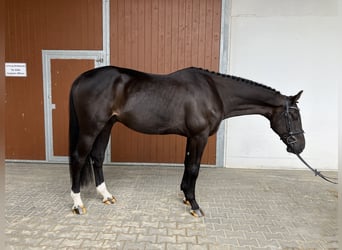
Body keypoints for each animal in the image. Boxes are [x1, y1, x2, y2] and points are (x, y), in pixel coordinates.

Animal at [69, 66, 304, 217]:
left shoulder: (191, 137)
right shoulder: (199, 136)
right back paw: (78, 204)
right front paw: (194, 205)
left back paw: (106, 195)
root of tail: (82, 78)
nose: (300, 146)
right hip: (91, 128)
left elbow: (187, 164)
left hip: (106, 125)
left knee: (97, 157)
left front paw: (184, 195)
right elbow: (194, 168)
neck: (215, 92)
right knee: (79, 159)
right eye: (293, 116)